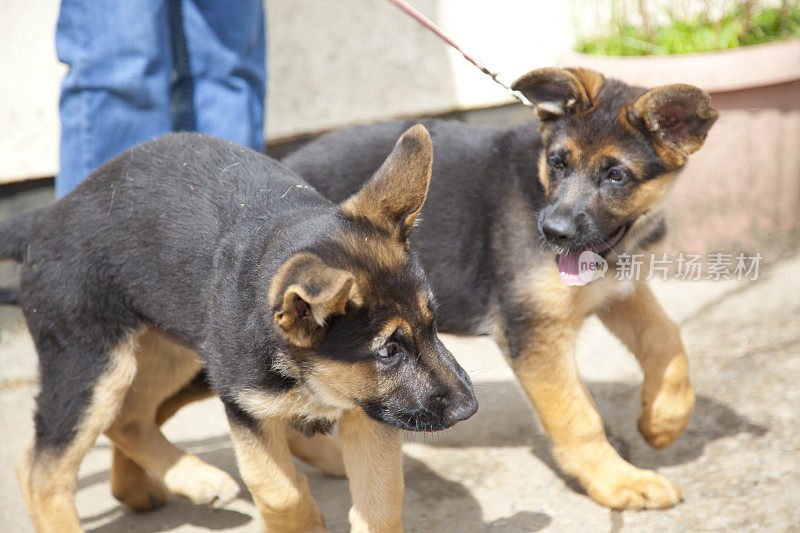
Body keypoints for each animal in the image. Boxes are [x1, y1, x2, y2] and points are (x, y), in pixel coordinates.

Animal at [3, 125, 478, 532]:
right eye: (388, 351)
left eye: (432, 325)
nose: (467, 410)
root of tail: (50, 212)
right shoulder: (245, 405)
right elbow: (280, 489)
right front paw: (302, 524)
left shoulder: (368, 411)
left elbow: (379, 502)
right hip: (93, 364)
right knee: (41, 470)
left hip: (173, 348)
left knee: (128, 418)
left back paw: (173, 483)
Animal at [282, 68, 720, 510]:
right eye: (558, 163)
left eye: (617, 176)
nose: (552, 233)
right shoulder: (533, 331)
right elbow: (577, 415)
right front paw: (617, 480)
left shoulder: (618, 292)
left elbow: (666, 338)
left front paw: (663, 420)